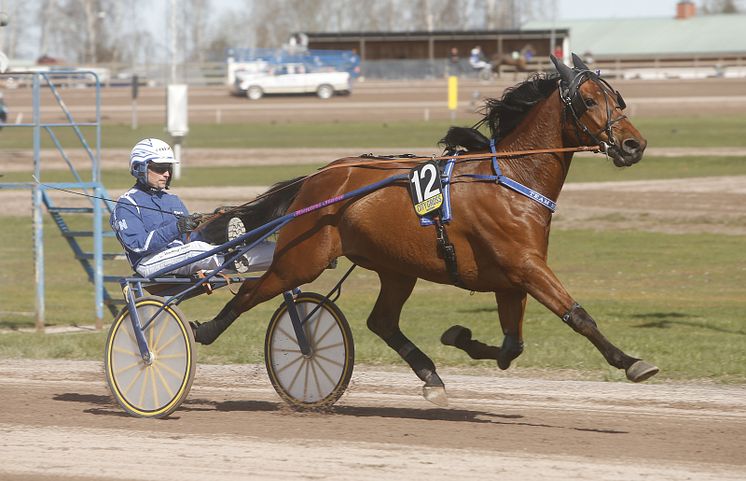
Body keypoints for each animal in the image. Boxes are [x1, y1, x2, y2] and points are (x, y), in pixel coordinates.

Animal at [195, 53, 652, 404]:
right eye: (589, 100)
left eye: (617, 98)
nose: (635, 145)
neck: (510, 178)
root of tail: (319, 177)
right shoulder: (525, 266)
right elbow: (577, 316)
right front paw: (632, 363)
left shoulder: (511, 278)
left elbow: (511, 346)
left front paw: (458, 336)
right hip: (301, 259)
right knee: (252, 292)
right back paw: (205, 329)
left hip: (396, 268)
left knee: (381, 322)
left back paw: (431, 377)